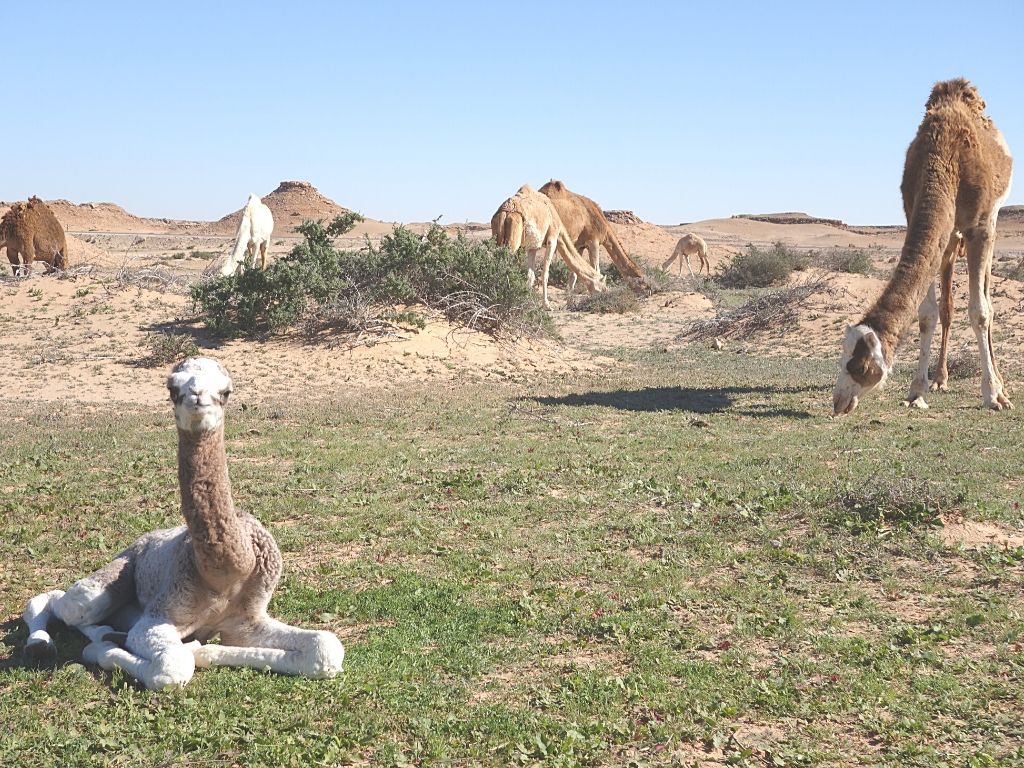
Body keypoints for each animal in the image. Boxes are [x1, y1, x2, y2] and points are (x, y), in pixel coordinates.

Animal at [22, 360, 344, 692]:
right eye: (172, 387)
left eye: (226, 391)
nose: (197, 398)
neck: (225, 575)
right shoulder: (157, 616)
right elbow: (173, 667)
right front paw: (103, 650)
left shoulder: (245, 619)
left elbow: (326, 647)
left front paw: (204, 651)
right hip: (104, 585)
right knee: (55, 601)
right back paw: (48, 643)